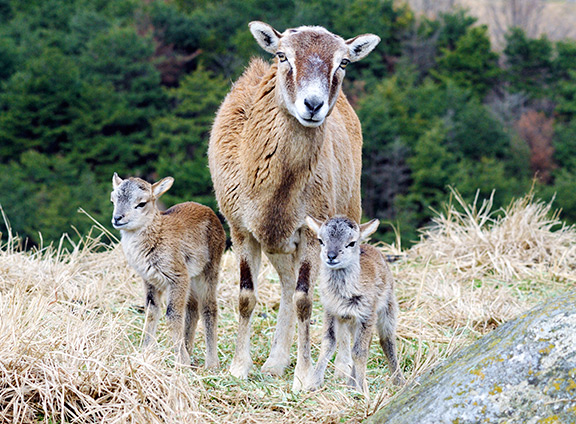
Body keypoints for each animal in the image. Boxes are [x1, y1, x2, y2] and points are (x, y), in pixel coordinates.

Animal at [110, 172, 225, 368]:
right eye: (113, 200)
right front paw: (145, 352)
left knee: (209, 308)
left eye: (142, 203)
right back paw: (189, 349)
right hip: (191, 280)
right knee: (192, 309)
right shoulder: (150, 280)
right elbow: (151, 312)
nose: (118, 218)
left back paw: (211, 363)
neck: (158, 236)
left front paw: (181, 361)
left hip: (209, 270)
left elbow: (172, 315)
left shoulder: (178, 277)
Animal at [209, 20, 380, 390]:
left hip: (348, 208)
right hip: (276, 242)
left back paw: (341, 367)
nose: (313, 105)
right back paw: (275, 362)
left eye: (344, 62)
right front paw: (239, 368)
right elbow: (247, 296)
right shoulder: (242, 229)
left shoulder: (311, 230)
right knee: (286, 284)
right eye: (282, 55)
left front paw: (303, 377)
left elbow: (305, 300)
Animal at [304, 215, 402, 394]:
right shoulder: (330, 311)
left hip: (388, 307)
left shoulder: (367, 314)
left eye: (351, 243)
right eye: (321, 240)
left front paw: (362, 390)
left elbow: (360, 352)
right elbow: (328, 344)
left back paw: (399, 381)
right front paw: (313, 384)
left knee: (386, 341)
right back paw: (351, 382)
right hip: (350, 322)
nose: (331, 256)